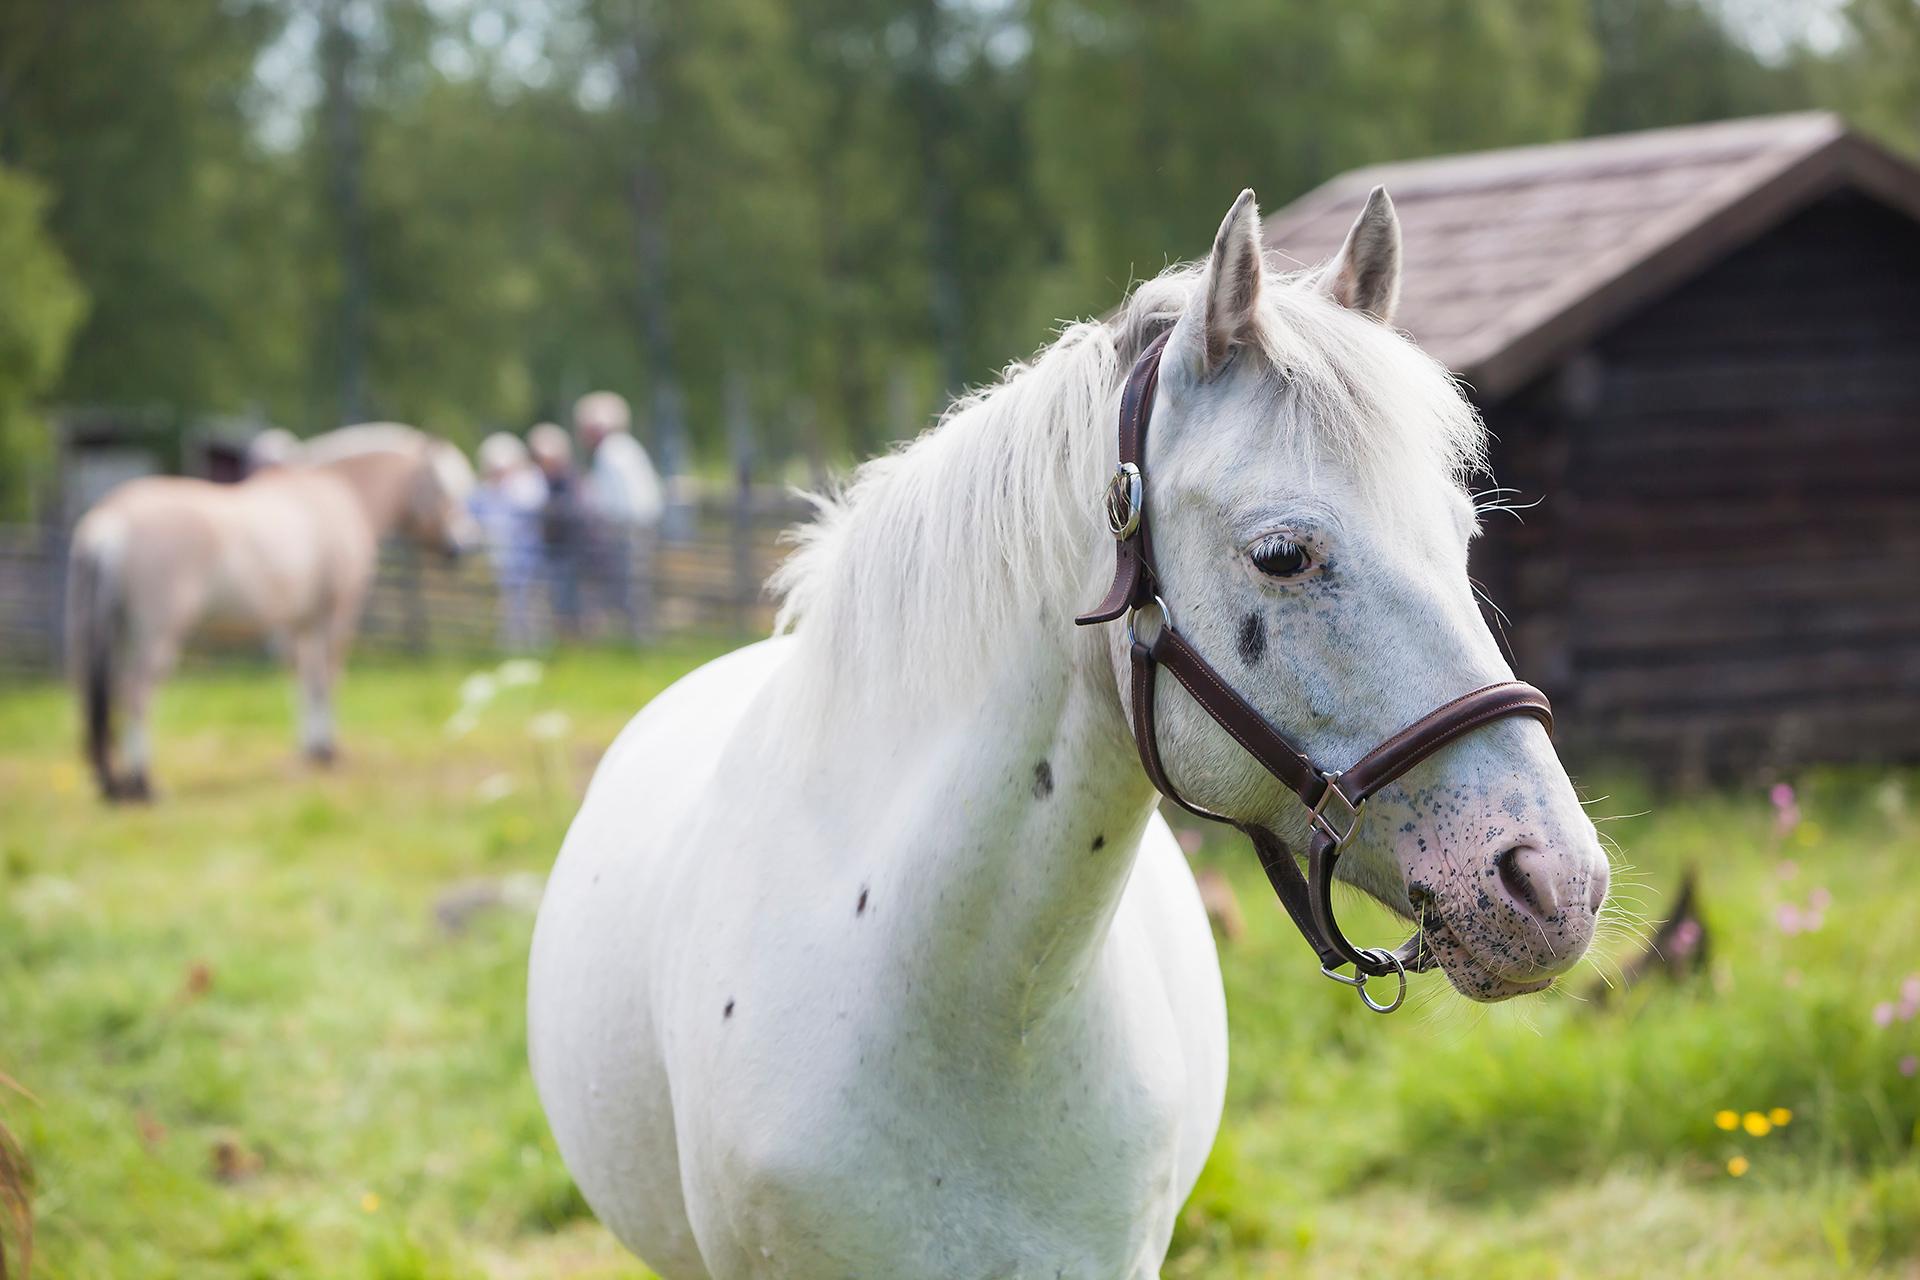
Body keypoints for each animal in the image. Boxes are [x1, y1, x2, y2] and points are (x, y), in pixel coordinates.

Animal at [67, 420, 480, 802]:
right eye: (443, 488)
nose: (460, 547)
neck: (340, 494)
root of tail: (111, 523)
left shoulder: (297, 620)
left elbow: (302, 675)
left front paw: (310, 750)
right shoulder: (337, 610)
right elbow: (327, 675)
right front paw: (328, 750)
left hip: (113, 629)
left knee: (104, 693)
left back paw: (112, 782)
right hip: (159, 630)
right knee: (136, 691)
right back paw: (142, 782)